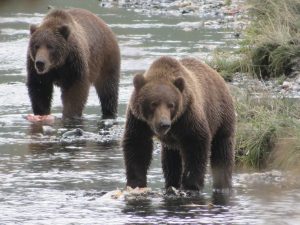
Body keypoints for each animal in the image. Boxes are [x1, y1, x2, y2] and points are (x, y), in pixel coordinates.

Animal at [123, 55, 236, 190]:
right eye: (153, 104)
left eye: (171, 105)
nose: (164, 124)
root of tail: (217, 75)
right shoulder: (139, 120)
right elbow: (137, 145)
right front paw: (136, 183)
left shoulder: (187, 115)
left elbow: (196, 144)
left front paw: (191, 184)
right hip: (171, 143)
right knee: (170, 159)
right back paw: (171, 183)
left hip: (220, 115)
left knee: (222, 148)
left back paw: (223, 183)